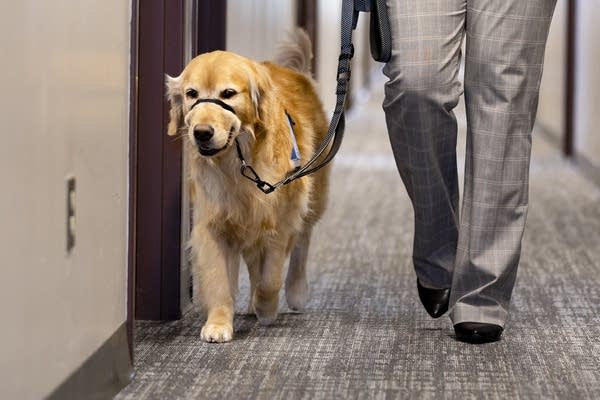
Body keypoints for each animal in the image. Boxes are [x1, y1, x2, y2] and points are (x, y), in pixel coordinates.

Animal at [166, 30, 330, 344]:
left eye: (228, 94)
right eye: (192, 94)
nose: (201, 133)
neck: (236, 162)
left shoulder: (277, 220)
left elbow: (271, 277)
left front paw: (265, 307)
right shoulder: (214, 223)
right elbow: (219, 279)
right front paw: (218, 323)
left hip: (314, 194)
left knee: (302, 241)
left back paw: (295, 291)